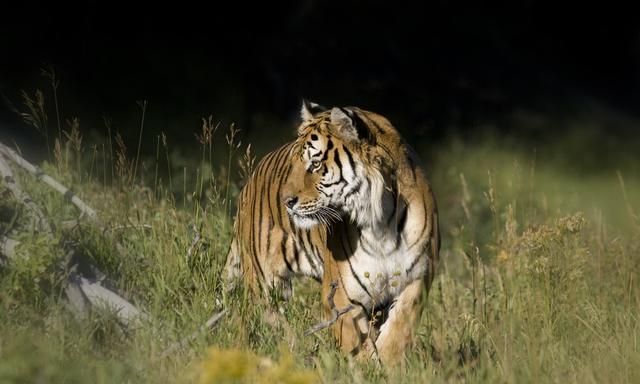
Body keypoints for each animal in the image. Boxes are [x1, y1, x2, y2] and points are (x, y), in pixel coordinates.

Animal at [222, 100, 438, 364]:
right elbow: (356, 343)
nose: (286, 201)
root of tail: (249, 183)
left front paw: (388, 363)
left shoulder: (417, 278)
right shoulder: (341, 294)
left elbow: (400, 327)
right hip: (265, 283)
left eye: (315, 164)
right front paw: (366, 367)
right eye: (294, 164)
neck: (381, 223)